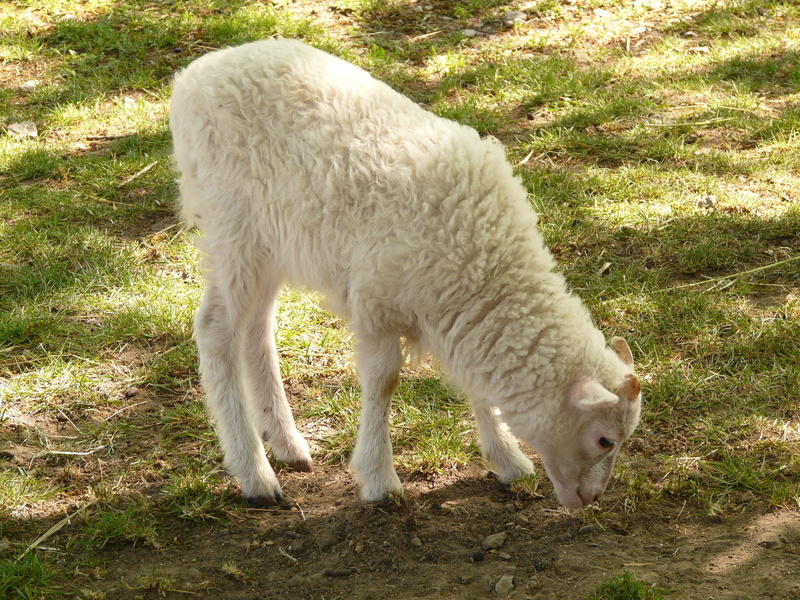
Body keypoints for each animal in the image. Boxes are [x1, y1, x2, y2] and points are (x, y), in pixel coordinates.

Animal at [169, 38, 642, 510]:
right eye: (605, 440)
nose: (591, 498)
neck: (489, 263)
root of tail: (196, 73)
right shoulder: (378, 302)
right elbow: (384, 382)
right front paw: (379, 478)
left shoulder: (453, 309)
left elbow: (473, 383)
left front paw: (506, 458)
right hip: (233, 228)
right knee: (216, 330)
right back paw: (254, 473)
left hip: (273, 243)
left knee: (256, 328)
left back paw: (286, 442)